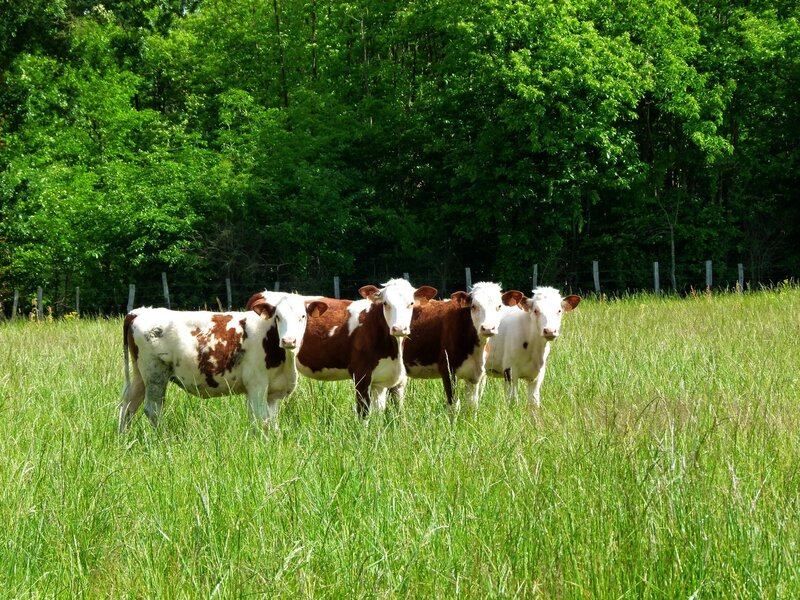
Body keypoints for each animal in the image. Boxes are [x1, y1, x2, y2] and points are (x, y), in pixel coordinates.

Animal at [118, 292, 328, 432]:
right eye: (278, 317)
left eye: (303, 316)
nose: (289, 340)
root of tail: (139, 312)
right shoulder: (257, 384)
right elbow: (260, 418)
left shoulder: (273, 392)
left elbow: (271, 422)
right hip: (155, 374)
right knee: (152, 409)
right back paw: (162, 439)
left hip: (140, 375)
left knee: (127, 406)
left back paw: (123, 439)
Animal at [248, 279, 437, 417]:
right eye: (385, 303)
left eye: (411, 303)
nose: (399, 328)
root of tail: (263, 293)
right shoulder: (361, 374)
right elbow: (364, 413)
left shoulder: (390, 379)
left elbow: (386, 412)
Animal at [391, 282, 524, 411]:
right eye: (473, 306)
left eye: (499, 306)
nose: (487, 328)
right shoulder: (448, 370)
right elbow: (454, 406)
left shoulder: (475, 374)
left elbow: (472, 406)